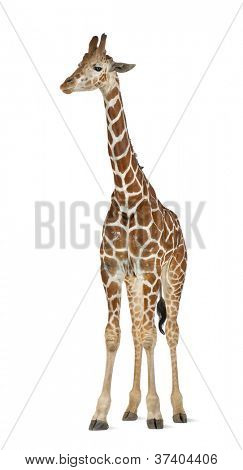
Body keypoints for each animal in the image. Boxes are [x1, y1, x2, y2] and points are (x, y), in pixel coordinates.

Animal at [61, 33, 188, 430]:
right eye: (79, 62)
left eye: (99, 66)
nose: (66, 84)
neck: (127, 195)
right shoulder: (113, 271)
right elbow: (114, 335)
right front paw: (102, 412)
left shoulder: (149, 271)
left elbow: (151, 335)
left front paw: (156, 411)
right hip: (137, 284)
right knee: (139, 332)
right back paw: (131, 408)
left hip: (173, 276)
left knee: (169, 331)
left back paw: (177, 408)